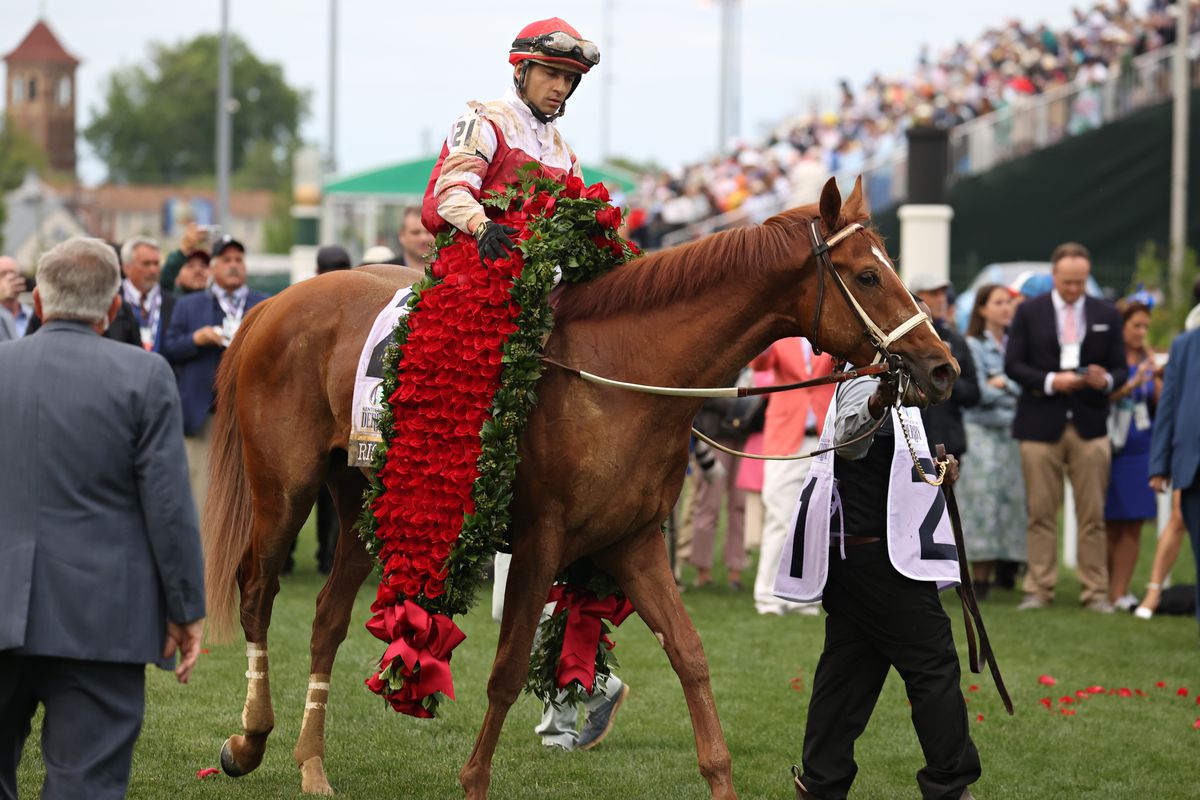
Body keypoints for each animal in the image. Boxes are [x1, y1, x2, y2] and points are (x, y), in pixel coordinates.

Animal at [204, 178, 955, 796]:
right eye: (868, 274)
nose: (942, 367)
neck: (624, 375)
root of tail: (275, 303)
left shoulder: (634, 541)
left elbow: (690, 656)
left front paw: (717, 774)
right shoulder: (542, 542)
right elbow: (508, 668)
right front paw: (474, 780)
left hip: (369, 501)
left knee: (327, 619)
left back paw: (311, 765)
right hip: (284, 490)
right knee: (257, 594)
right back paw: (248, 740)